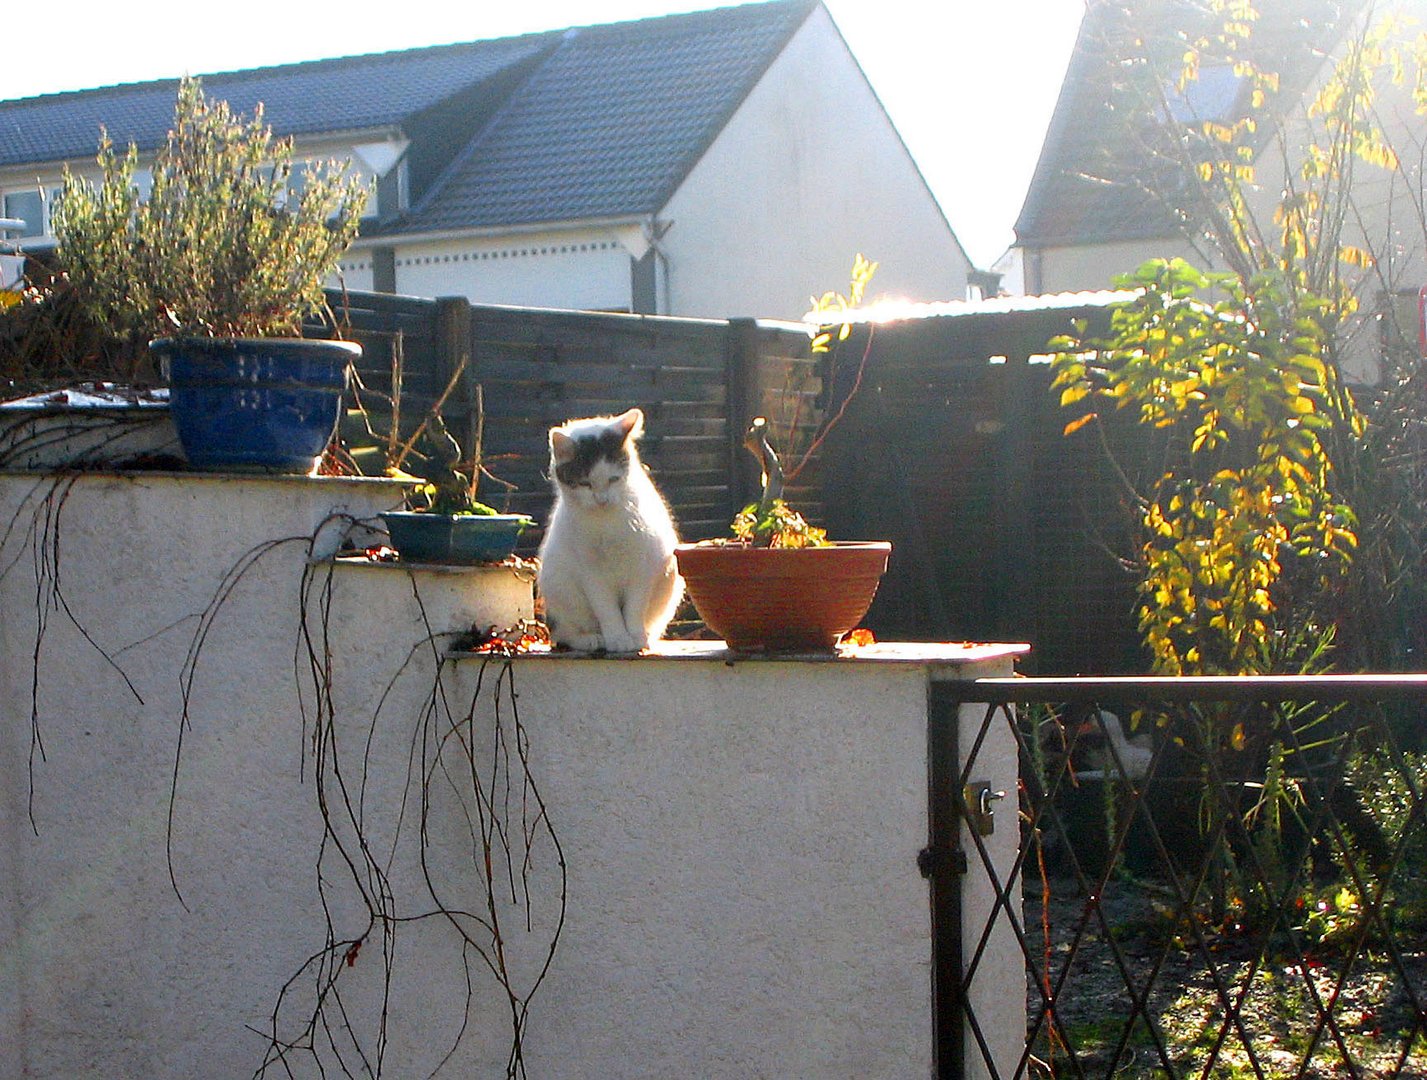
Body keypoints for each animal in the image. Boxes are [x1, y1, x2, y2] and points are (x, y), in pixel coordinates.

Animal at [539, 408, 684, 653]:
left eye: (614, 479)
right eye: (585, 483)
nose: (602, 500)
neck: (606, 521)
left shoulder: (642, 567)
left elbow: (634, 607)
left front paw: (634, 636)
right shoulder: (591, 574)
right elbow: (607, 610)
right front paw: (617, 638)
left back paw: (646, 635)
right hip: (557, 585)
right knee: (564, 633)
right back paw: (591, 639)